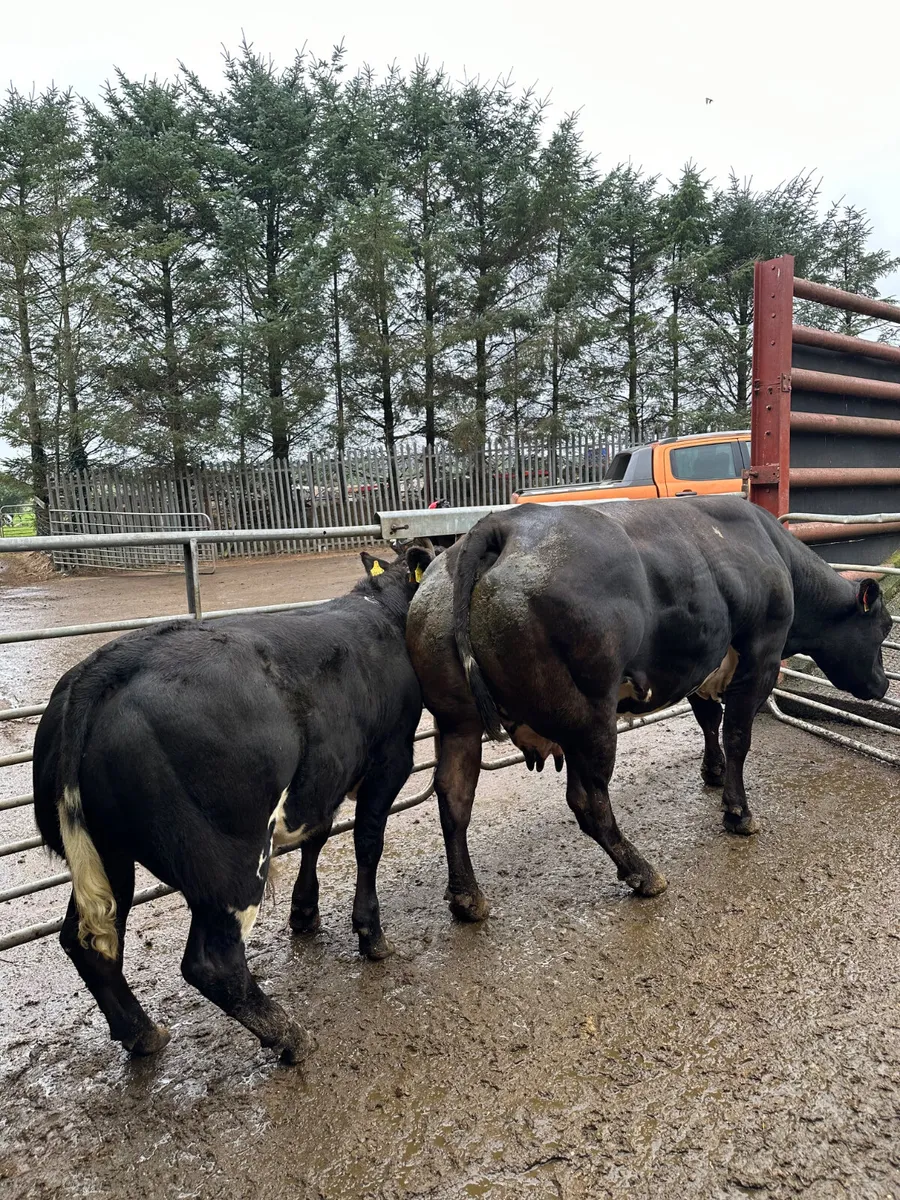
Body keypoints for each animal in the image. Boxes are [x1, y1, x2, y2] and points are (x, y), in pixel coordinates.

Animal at [32, 543, 432, 1063]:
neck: (382, 608)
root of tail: (108, 660)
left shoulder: (320, 777)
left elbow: (318, 835)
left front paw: (305, 913)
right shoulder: (391, 756)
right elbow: (368, 840)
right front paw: (372, 937)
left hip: (109, 852)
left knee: (85, 942)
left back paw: (143, 1033)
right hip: (227, 858)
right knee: (213, 963)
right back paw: (289, 1036)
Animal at [406, 497, 891, 921]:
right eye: (884, 627)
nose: (885, 685)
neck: (774, 553)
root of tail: (500, 525)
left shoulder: (698, 661)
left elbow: (708, 719)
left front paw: (713, 773)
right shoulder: (761, 657)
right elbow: (737, 735)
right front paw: (739, 813)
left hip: (457, 721)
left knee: (454, 797)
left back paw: (467, 898)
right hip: (589, 716)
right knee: (587, 800)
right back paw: (643, 873)